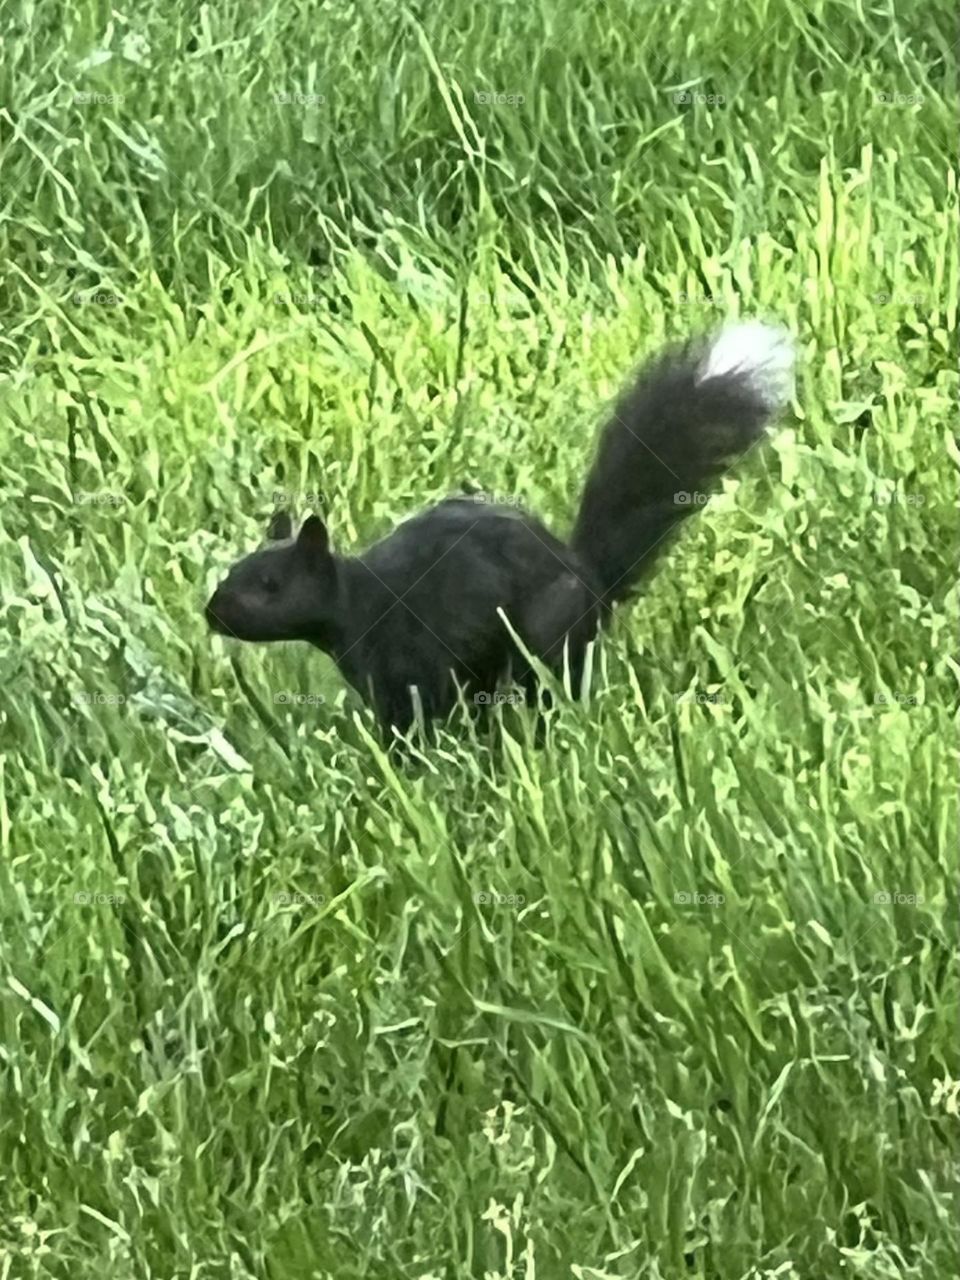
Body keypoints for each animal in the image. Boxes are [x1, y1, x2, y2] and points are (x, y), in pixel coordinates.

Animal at [205, 321, 795, 735]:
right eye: (235, 569)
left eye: (270, 585)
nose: (212, 612)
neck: (355, 602)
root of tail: (591, 583)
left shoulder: (403, 661)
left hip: (542, 635)